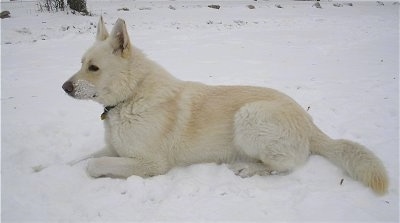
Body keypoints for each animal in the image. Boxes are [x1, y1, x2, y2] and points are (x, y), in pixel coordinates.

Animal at [61, 17, 388, 195]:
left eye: (93, 68)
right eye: (81, 63)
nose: (64, 87)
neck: (131, 96)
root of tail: (310, 123)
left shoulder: (151, 164)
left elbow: (93, 164)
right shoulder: (114, 148)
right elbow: (80, 159)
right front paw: (57, 168)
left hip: (249, 116)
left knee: (286, 165)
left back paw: (247, 168)